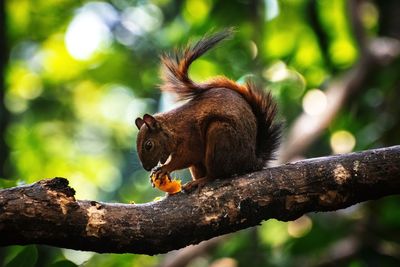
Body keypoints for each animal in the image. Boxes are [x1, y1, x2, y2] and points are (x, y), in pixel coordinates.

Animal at [134, 28, 282, 193]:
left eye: (148, 145)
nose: (147, 168)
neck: (173, 128)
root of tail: (251, 162)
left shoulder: (190, 137)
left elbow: (186, 156)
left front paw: (165, 168)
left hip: (219, 136)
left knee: (216, 174)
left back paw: (201, 181)